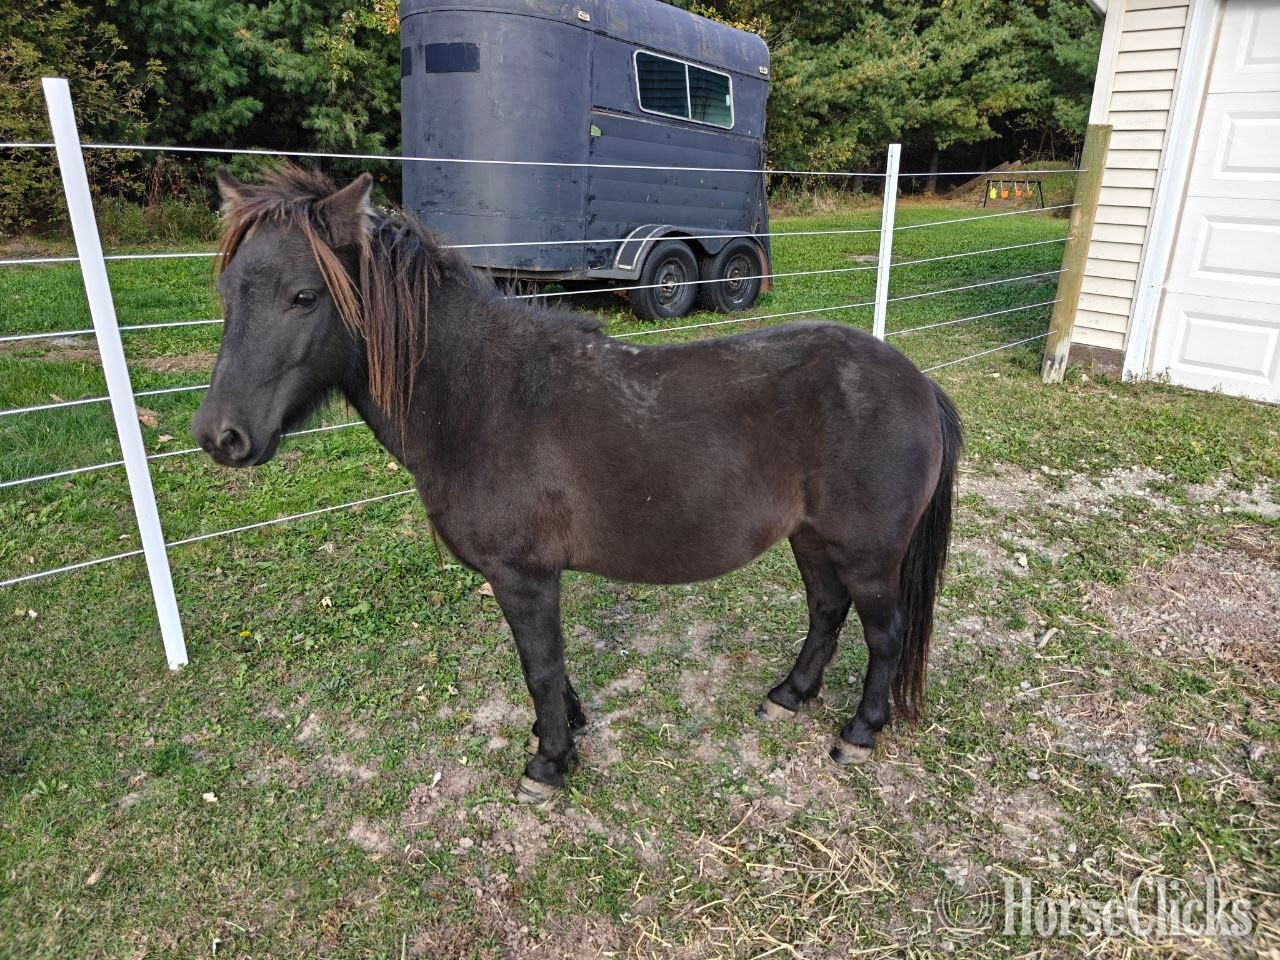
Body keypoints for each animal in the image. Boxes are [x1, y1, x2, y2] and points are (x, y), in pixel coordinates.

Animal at [192, 166, 963, 804]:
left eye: (303, 296)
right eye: (227, 293)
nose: (219, 436)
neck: (484, 399)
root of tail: (917, 383)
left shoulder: (524, 575)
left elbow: (539, 665)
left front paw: (548, 765)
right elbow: (548, 667)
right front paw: (560, 731)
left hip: (868, 555)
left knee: (885, 634)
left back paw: (859, 732)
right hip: (811, 539)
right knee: (826, 613)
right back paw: (790, 694)